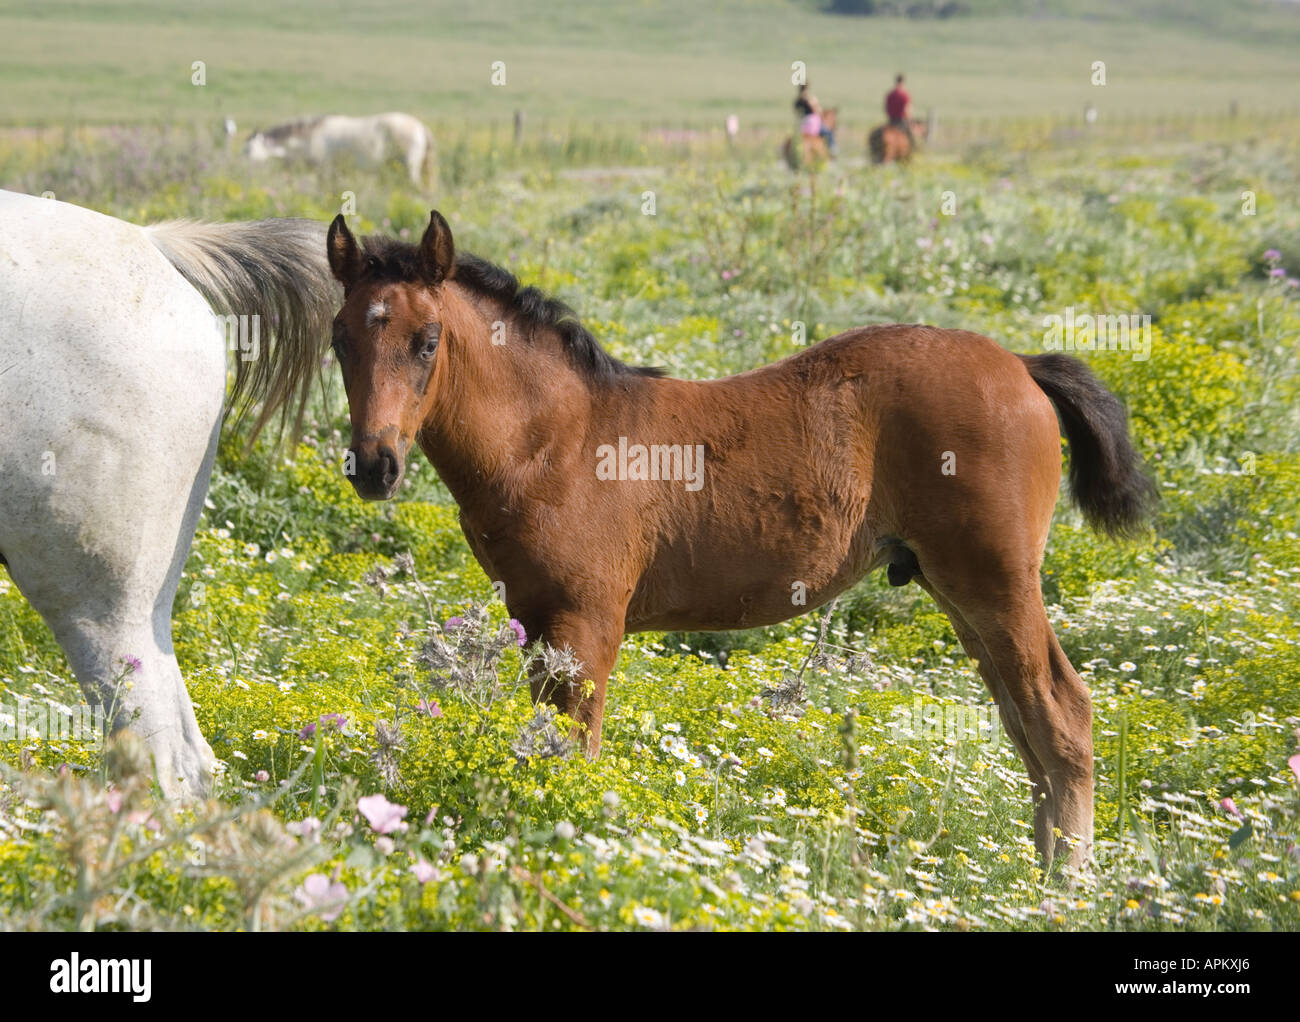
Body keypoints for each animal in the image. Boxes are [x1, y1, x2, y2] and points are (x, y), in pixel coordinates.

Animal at [245, 112, 439, 188]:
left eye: (248, 150)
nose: (243, 171)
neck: (310, 138)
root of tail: (421, 127)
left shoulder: (325, 171)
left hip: (410, 169)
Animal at [327, 210, 1159, 863]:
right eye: (338, 340)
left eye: (428, 339)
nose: (374, 465)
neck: (556, 440)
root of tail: (1019, 363)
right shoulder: (537, 625)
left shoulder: (587, 625)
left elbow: (578, 752)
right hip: (960, 592)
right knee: (1024, 723)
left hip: (998, 582)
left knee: (1062, 715)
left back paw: (1064, 885)